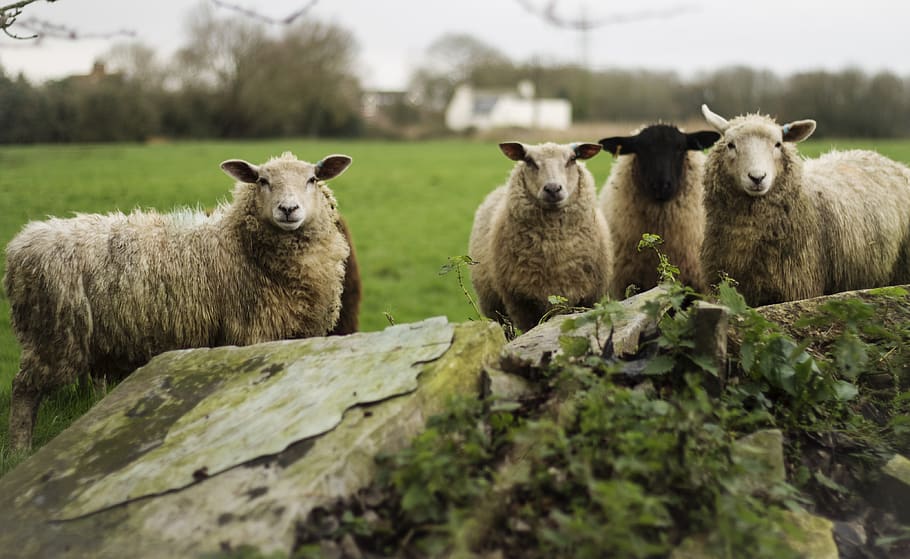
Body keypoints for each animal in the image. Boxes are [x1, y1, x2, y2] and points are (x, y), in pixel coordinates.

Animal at [4, 151, 353, 450]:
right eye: (262, 181)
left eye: (312, 179)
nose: (288, 209)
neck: (240, 245)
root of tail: (20, 245)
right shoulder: (253, 333)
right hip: (53, 335)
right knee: (24, 391)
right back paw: (20, 448)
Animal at [468, 141, 612, 332]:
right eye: (529, 160)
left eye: (572, 159)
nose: (553, 188)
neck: (555, 248)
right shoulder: (522, 303)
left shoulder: (587, 298)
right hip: (495, 310)